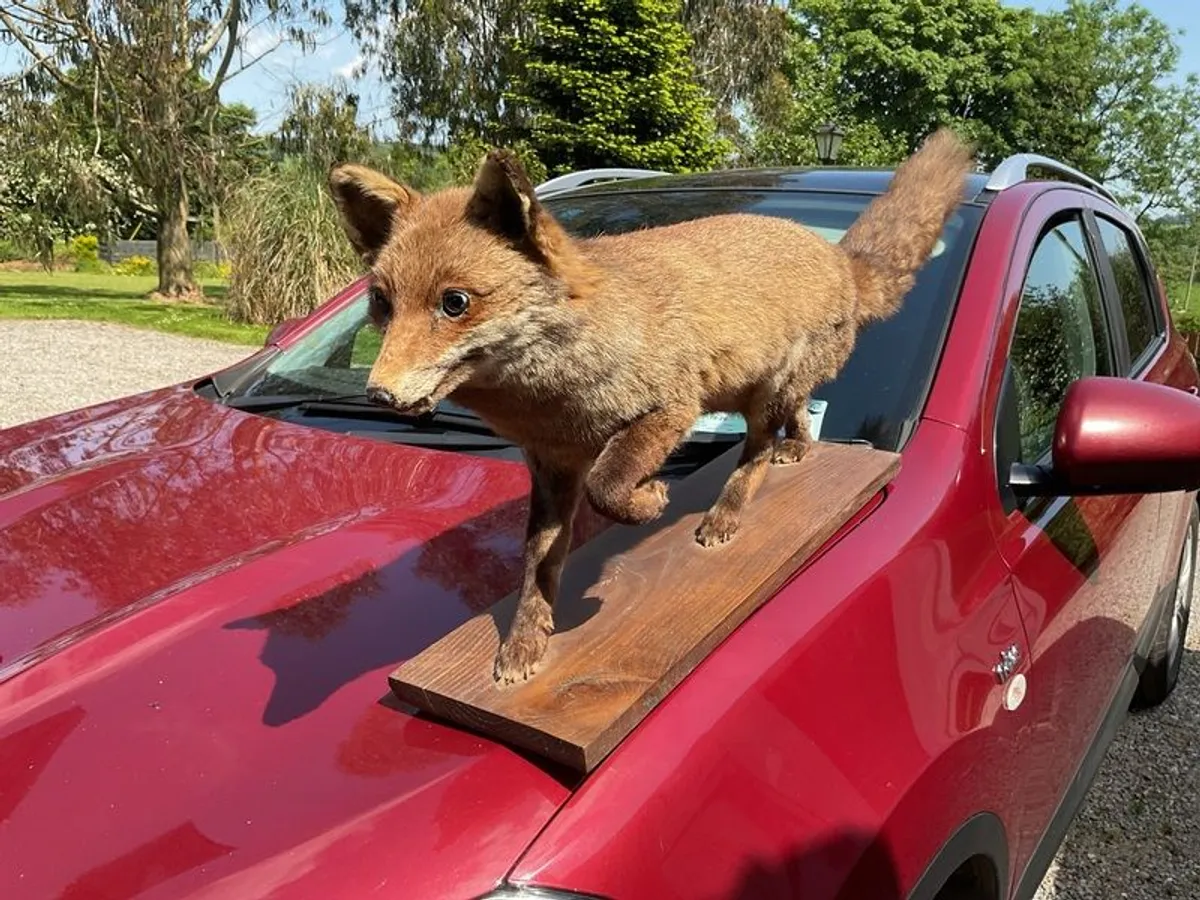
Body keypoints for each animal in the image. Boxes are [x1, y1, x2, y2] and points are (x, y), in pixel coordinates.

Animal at [328, 127, 975, 683]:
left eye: (455, 302)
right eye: (382, 304)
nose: (378, 394)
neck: (556, 401)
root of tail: (839, 258)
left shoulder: (669, 407)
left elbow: (610, 487)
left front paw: (653, 499)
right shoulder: (551, 465)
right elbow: (538, 563)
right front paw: (525, 644)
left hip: (761, 394)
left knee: (756, 451)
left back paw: (725, 513)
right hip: (755, 389)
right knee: (798, 423)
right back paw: (797, 448)